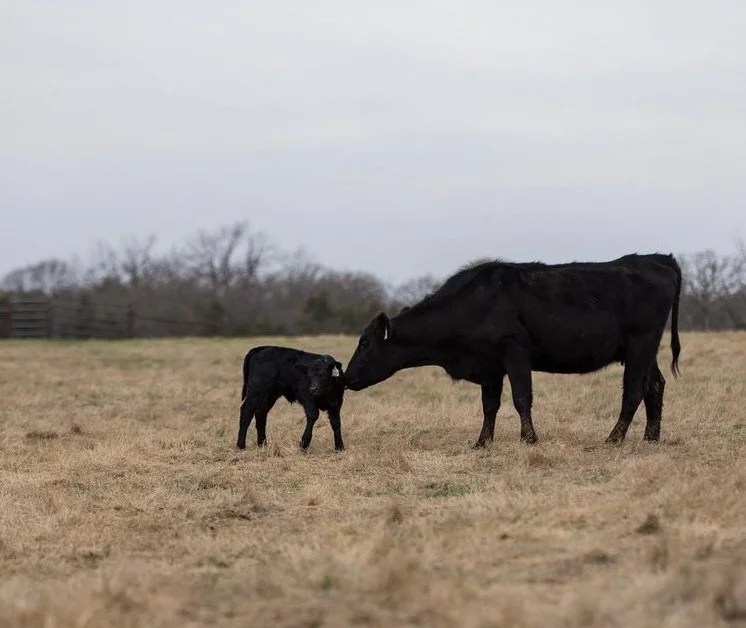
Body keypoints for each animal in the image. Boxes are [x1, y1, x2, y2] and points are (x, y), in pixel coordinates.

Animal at [344, 253, 682, 447]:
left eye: (364, 343)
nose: (347, 377)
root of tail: (658, 258)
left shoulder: (515, 351)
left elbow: (521, 398)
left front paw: (528, 439)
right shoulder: (489, 364)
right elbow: (489, 405)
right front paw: (482, 443)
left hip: (640, 345)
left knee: (634, 390)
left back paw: (613, 439)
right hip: (642, 351)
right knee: (655, 386)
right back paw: (651, 438)